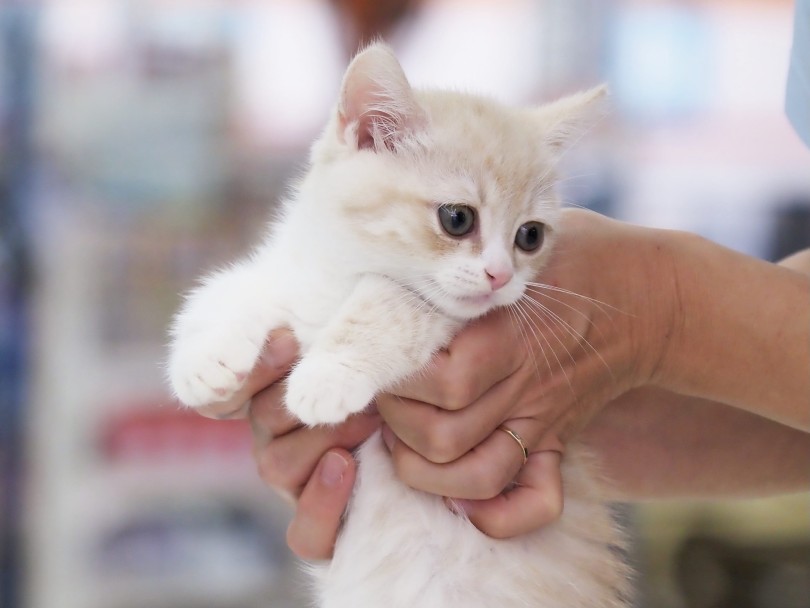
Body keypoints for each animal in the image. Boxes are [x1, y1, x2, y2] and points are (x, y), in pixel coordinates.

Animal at [167, 42, 628, 608]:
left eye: (530, 236)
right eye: (458, 218)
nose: (500, 276)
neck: (339, 274)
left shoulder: (437, 312)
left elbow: (389, 299)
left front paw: (327, 375)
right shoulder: (289, 277)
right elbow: (225, 292)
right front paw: (205, 363)